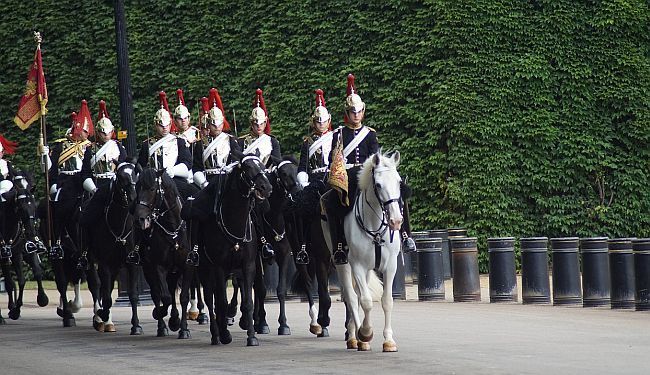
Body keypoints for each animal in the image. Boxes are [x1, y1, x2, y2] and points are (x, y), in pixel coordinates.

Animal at [0, 170, 48, 324]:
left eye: (34, 205)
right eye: (20, 207)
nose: (32, 232)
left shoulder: (17, 253)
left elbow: (23, 279)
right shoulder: (4, 257)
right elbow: (10, 283)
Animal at [81, 163, 141, 336]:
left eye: (135, 173)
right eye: (120, 176)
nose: (133, 198)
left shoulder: (131, 264)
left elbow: (133, 295)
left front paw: (136, 325)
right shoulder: (104, 264)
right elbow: (106, 298)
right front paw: (101, 315)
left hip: (116, 266)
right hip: (90, 261)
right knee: (96, 286)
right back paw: (100, 318)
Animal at [132, 169, 192, 340]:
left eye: (152, 189)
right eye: (137, 188)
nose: (139, 219)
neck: (172, 230)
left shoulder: (186, 267)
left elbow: (183, 298)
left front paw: (183, 328)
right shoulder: (158, 267)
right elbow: (163, 297)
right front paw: (161, 315)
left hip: (173, 271)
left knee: (171, 290)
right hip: (148, 269)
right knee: (157, 293)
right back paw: (162, 326)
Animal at [187, 153, 270, 346]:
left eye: (263, 165)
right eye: (247, 168)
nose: (266, 187)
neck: (234, 222)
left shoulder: (248, 265)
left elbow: (247, 301)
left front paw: (252, 336)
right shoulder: (218, 267)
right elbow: (221, 302)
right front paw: (224, 334)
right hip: (205, 269)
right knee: (210, 298)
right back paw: (215, 333)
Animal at [322, 151, 400, 352]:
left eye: (399, 182)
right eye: (378, 185)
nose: (396, 221)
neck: (374, 227)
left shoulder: (390, 266)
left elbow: (387, 301)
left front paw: (389, 340)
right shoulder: (357, 265)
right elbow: (365, 301)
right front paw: (365, 332)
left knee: (355, 295)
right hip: (343, 263)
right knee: (351, 296)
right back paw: (356, 337)